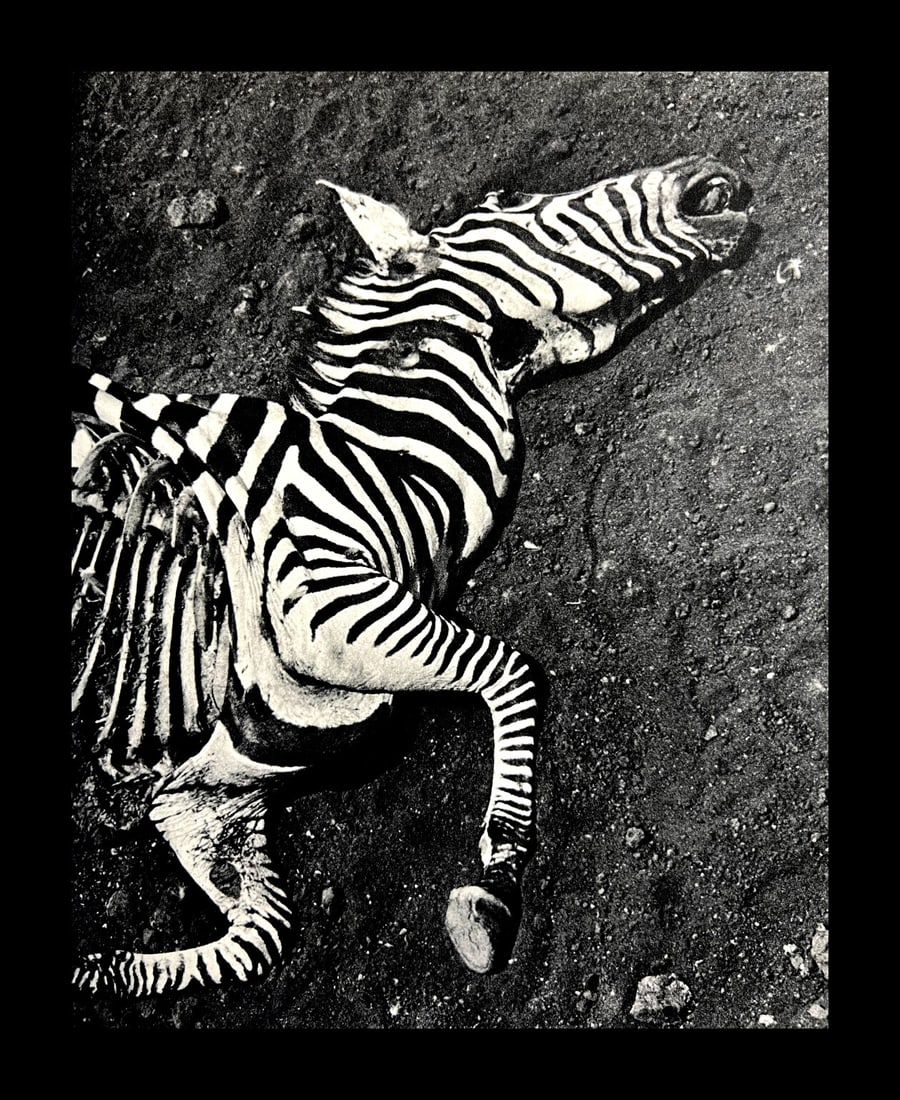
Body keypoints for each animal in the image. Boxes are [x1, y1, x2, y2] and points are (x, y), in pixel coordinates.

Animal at [72, 153, 752, 997]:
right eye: (512, 200)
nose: (715, 175)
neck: (382, 465)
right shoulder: (329, 603)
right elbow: (512, 671)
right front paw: (492, 886)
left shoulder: (214, 792)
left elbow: (257, 934)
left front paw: (101, 970)